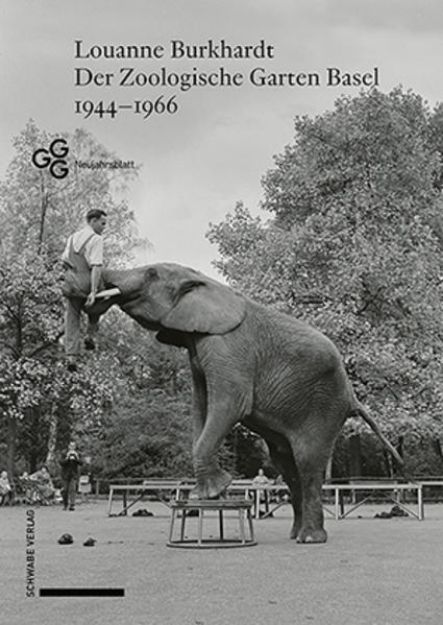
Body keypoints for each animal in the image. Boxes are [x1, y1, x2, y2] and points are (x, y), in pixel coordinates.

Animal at [79, 262, 402, 540]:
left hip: (324, 405)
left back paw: (310, 539)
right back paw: (294, 535)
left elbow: (229, 404)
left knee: (307, 462)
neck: (206, 283)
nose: (93, 299)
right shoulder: (198, 351)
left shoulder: (228, 346)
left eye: (151, 273)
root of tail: (352, 395)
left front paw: (214, 491)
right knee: (286, 465)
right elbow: (200, 409)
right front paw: (206, 494)